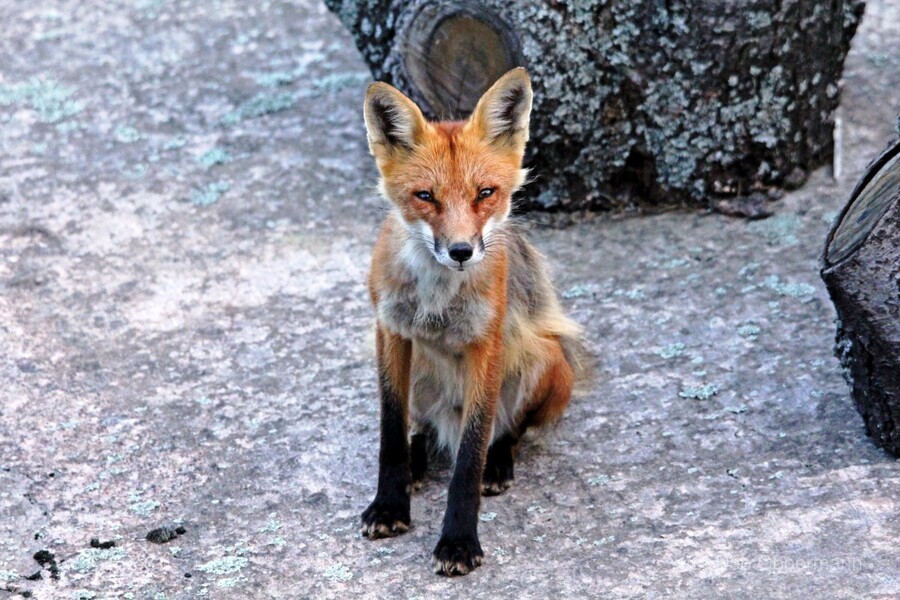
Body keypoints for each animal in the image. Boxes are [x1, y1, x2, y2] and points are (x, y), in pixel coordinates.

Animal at [360, 67, 586, 576]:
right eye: (426, 197)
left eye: (485, 194)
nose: (461, 251)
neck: (436, 297)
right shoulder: (390, 331)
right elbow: (391, 429)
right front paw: (389, 504)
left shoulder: (486, 344)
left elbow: (470, 454)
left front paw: (459, 541)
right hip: (418, 370)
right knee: (420, 427)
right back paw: (418, 459)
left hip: (543, 359)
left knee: (507, 430)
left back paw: (498, 463)